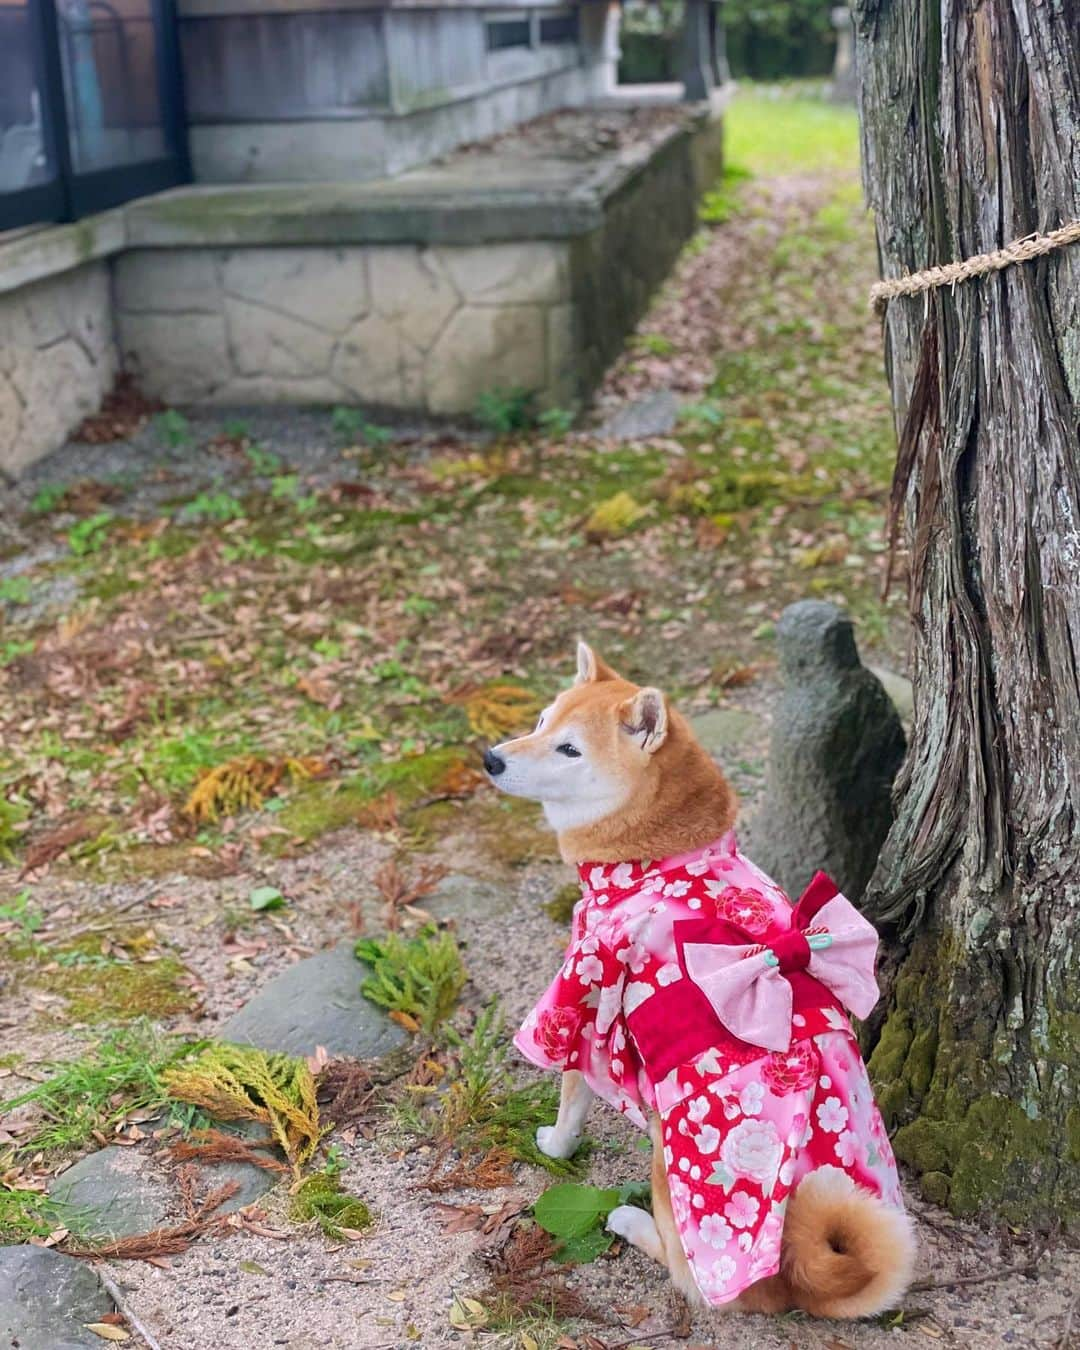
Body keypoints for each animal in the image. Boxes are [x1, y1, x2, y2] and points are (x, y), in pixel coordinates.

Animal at [486, 645, 918, 1317]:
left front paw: (554, 1145)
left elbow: (571, 1094)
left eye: (569, 749)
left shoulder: (583, 993)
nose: (492, 758)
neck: (657, 854)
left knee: (684, 1271)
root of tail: (796, 1278)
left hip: (670, 1167)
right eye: (539, 720)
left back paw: (629, 1222)